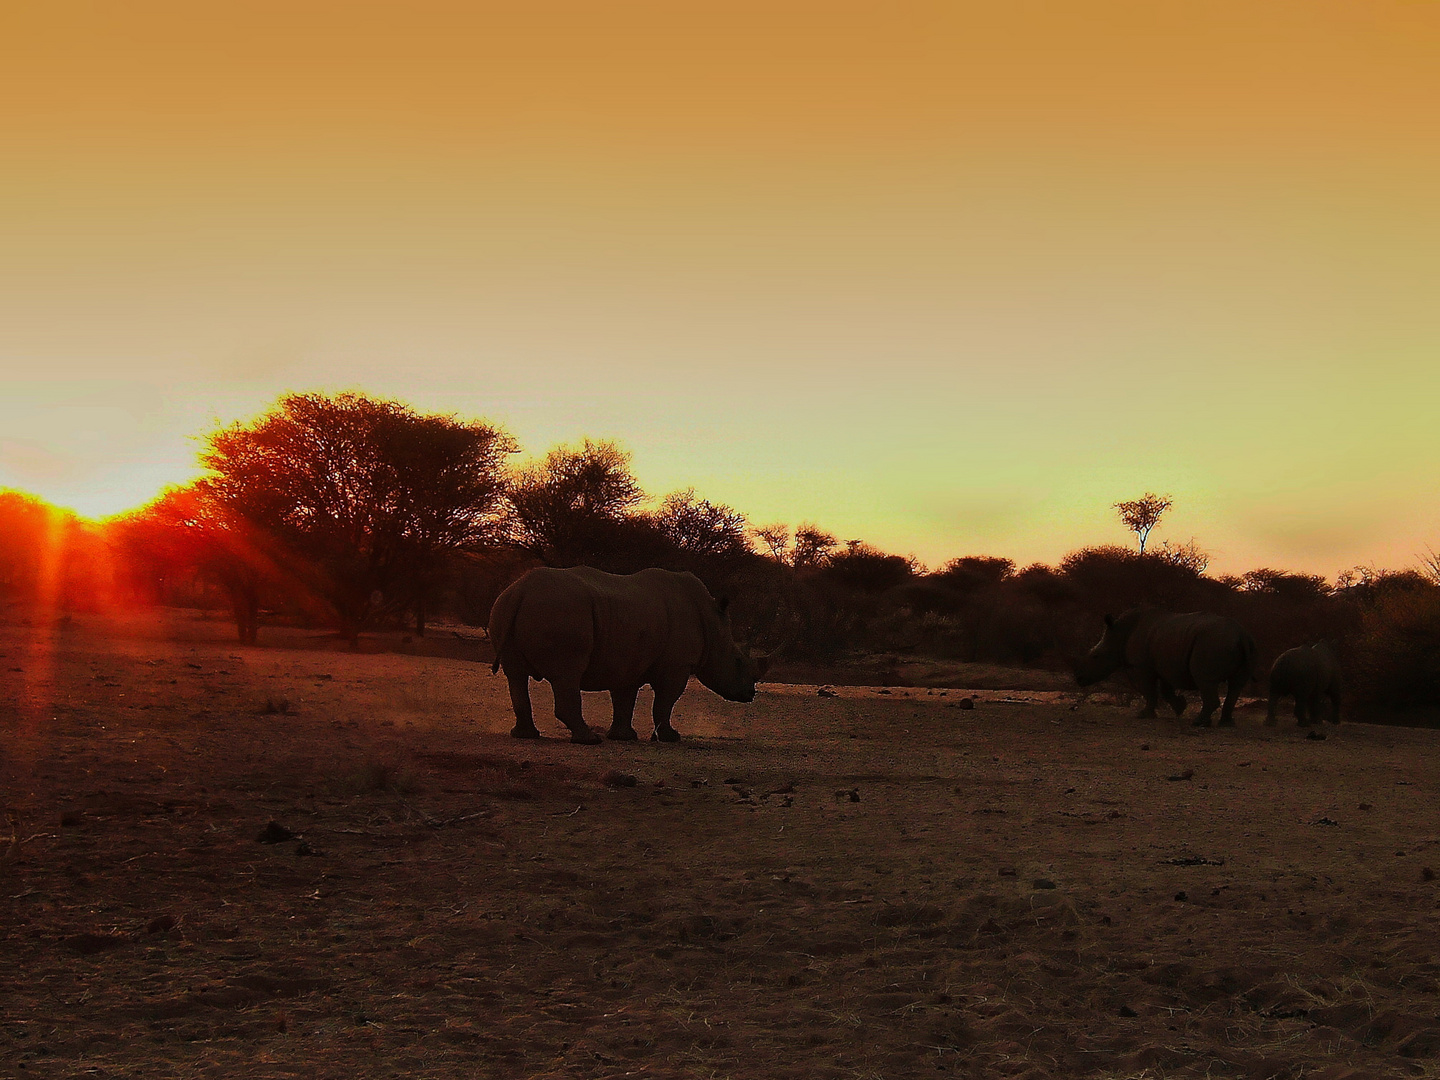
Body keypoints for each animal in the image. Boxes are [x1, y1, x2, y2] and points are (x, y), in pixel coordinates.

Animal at [489, 567, 771, 743]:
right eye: (737, 661)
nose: (750, 694)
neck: (712, 624)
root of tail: (520, 591)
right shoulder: (677, 666)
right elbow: (665, 702)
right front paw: (670, 737)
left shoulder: (627, 660)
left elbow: (624, 699)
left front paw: (624, 737)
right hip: (561, 611)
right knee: (566, 675)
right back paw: (589, 740)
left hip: (504, 608)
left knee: (515, 675)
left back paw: (526, 735)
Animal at [1077, 610, 1255, 728]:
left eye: (1095, 656)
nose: (1079, 679)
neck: (1119, 634)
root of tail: (1241, 635)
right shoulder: (1166, 664)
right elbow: (1165, 690)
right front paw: (1180, 707)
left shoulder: (1142, 667)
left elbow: (1149, 691)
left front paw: (1143, 715)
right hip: (1238, 643)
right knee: (1235, 685)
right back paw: (1226, 724)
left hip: (1212, 643)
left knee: (1205, 681)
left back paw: (1198, 723)